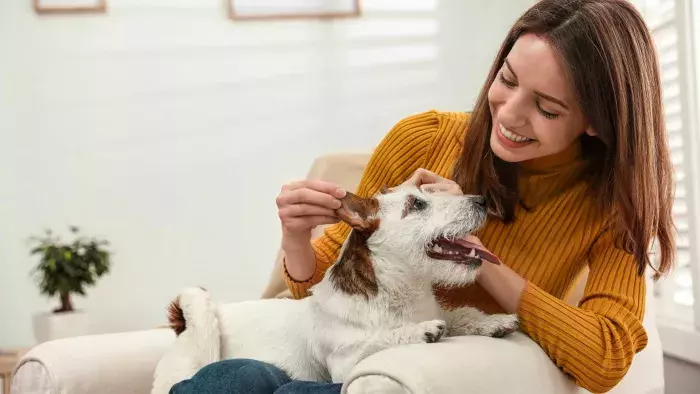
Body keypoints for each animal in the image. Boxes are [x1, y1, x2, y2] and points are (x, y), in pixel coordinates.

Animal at [152, 185, 520, 394]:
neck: (398, 295)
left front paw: (491, 321)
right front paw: (420, 331)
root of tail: (182, 324)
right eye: (417, 204)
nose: (482, 199)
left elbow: (461, 314)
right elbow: (379, 340)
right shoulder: (345, 365)